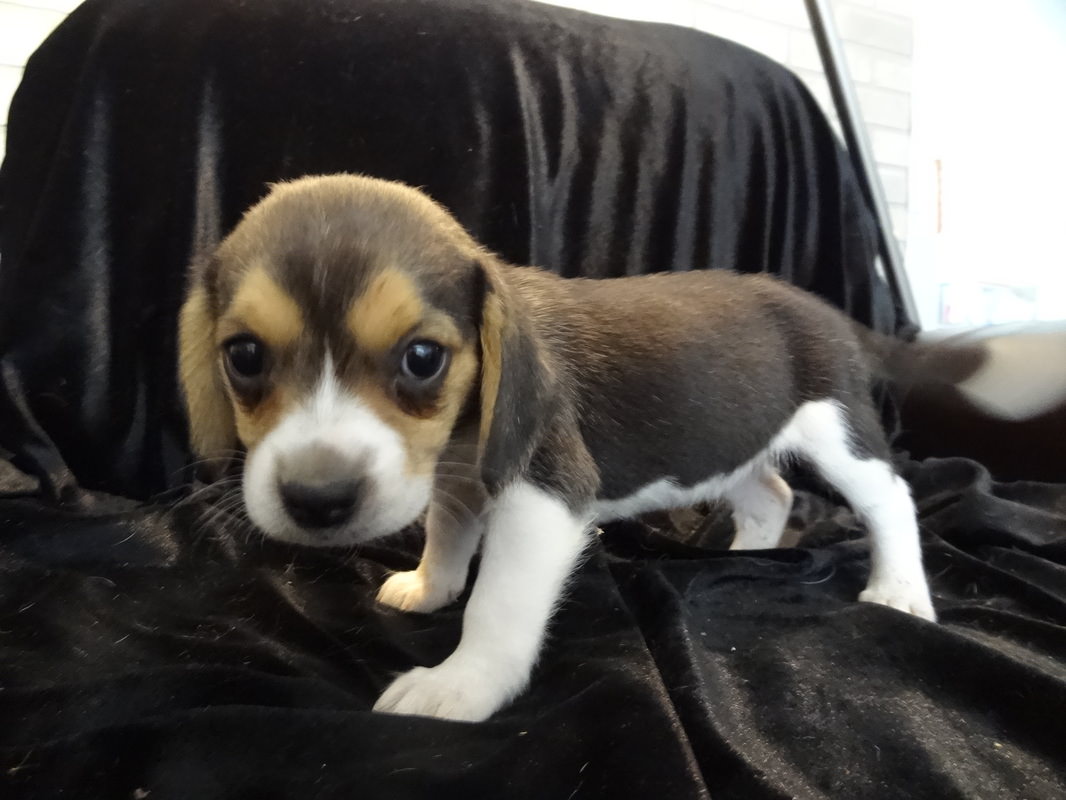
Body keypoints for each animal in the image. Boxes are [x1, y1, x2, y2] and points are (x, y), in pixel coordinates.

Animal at [178, 173, 1066, 722]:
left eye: (421, 358)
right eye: (244, 356)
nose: (317, 500)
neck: (458, 437)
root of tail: (828, 311)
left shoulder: (544, 492)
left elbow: (498, 604)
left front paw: (462, 685)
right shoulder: (461, 475)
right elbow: (448, 535)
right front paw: (430, 587)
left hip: (834, 430)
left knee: (890, 499)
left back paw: (899, 590)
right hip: (731, 439)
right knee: (771, 495)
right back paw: (738, 557)